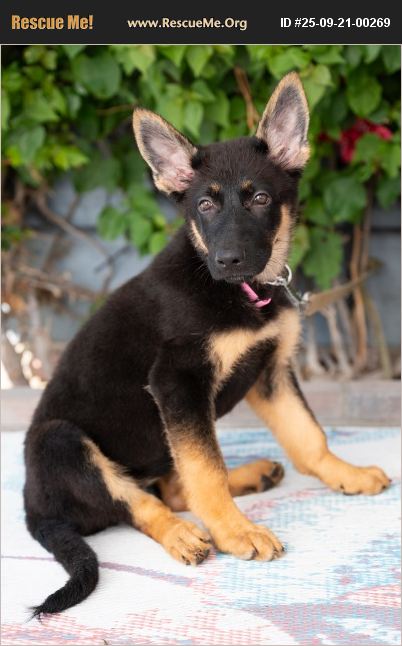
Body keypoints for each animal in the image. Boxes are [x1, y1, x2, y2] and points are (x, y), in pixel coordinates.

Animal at [24, 72, 390, 618]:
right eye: (205, 205)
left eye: (260, 199)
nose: (229, 260)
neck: (241, 292)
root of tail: (32, 505)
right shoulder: (177, 382)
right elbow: (205, 467)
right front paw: (235, 531)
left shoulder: (270, 371)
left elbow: (309, 435)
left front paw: (344, 472)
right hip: (61, 440)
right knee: (141, 502)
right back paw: (184, 534)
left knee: (171, 487)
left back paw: (254, 475)